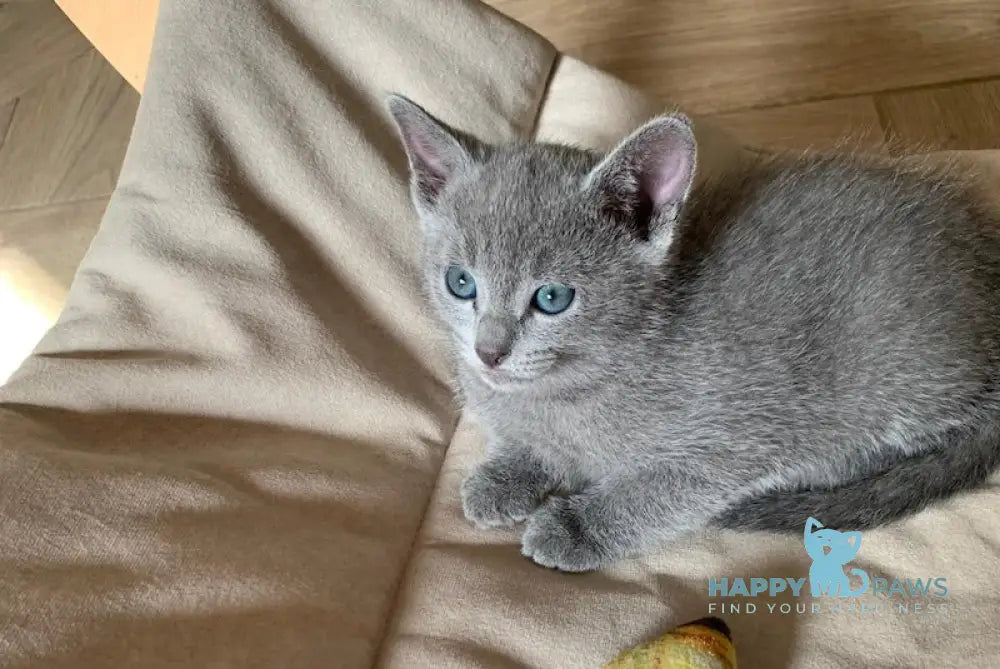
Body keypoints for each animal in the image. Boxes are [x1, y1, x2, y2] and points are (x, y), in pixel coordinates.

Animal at [386, 94, 1000, 572]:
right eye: (460, 283)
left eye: (553, 298)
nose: (489, 351)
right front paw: (506, 474)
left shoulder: (737, 436)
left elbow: (658, 491)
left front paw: (576, 527)